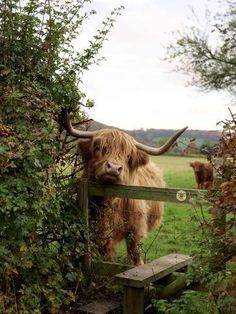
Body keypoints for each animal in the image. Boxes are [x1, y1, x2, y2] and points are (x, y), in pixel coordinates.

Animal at [63, 110, 187, 264]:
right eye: (97, 148)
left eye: (128, 156)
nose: (113, 168)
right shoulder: (97, 232)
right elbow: (106, 255)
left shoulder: (136, 230)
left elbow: (135, 253)